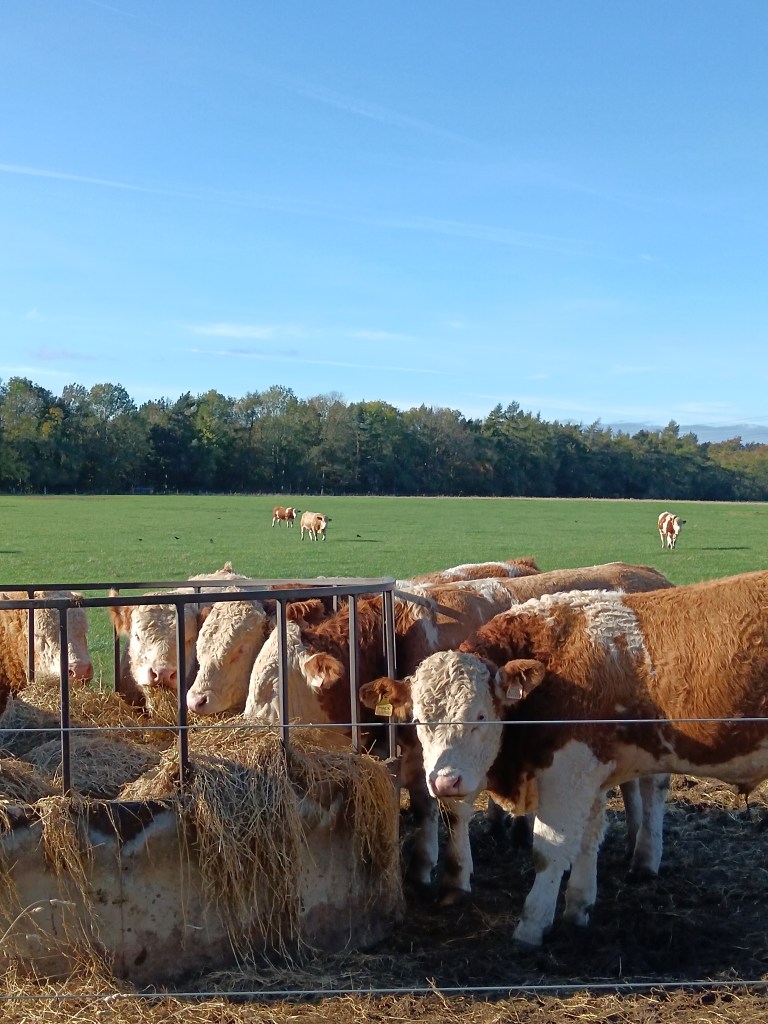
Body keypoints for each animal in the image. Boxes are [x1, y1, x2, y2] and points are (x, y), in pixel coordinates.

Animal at [244, 562, 673, 888]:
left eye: (271, 687)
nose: (241, 727)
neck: (393, 636)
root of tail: (645, 572)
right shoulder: (419, 747)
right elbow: (422, 803)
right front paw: (421, 864)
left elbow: (449, 808)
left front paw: (452, 872)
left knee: (654, 786)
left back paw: (645, 857)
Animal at [363, 570, 768, 946]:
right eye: (418, 719)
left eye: (480, 716)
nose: (444, 782)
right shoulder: (592, 774)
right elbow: (588, 839)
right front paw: (578, 908)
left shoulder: (568, 771)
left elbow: (549, 850)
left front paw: (531, 925)